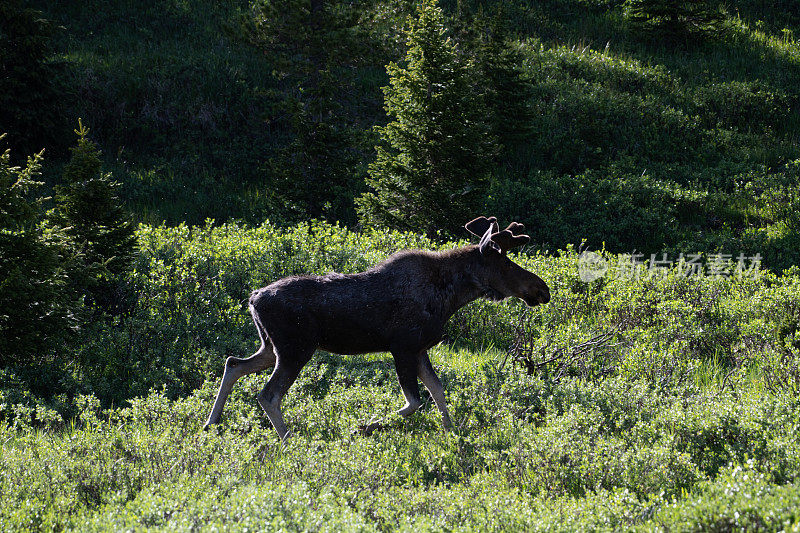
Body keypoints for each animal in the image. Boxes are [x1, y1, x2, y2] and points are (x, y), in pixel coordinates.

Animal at [203, 214, 552, 438]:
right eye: (505, 263)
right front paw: (363, 426)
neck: (450, 297)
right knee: (267, 395)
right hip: (295, 348)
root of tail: (252, 298)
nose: (542, 289)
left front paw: (453, 433)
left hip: (270, 346)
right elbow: (415, 401)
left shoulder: (419, 349)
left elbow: (438, 391)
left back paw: (211, 424)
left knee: (233, 363)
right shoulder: (403, 346)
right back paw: (290, 439)